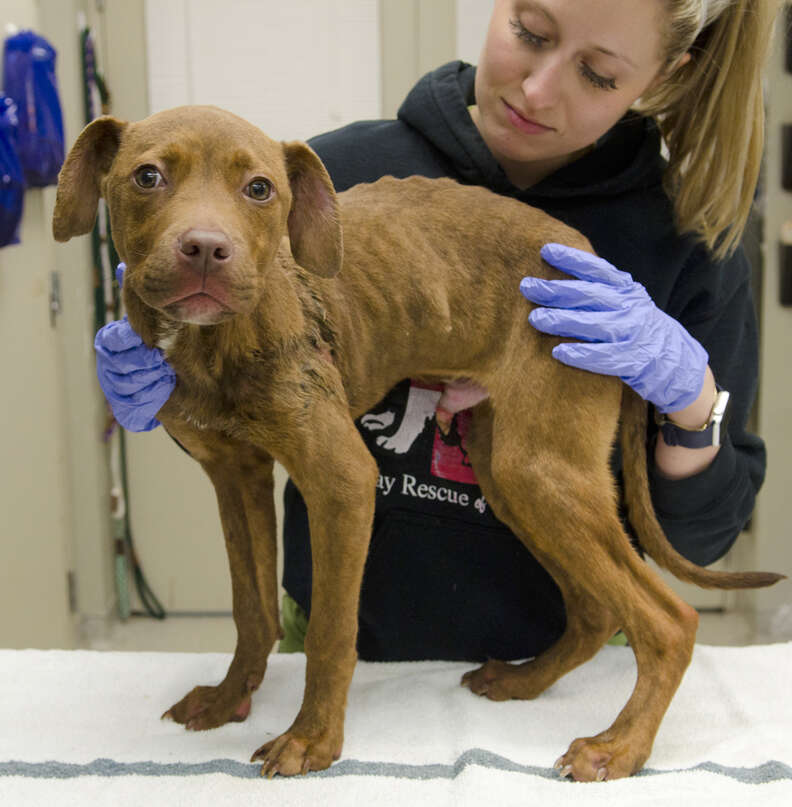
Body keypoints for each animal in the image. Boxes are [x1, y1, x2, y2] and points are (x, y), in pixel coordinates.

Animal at [51, 105, 784, 784]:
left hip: (541, 469)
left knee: (668, 621)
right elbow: (251, 608)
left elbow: (330, 630)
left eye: (259, 189)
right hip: (515, 473)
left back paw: (617, 747)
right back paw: (524, 682)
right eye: (147, 176)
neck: (212, 343)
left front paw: (312, 741)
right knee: (597, 608)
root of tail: (607, 269)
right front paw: (231, 698)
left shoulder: (342, 481)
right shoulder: (236, 475)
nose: (205, 249)